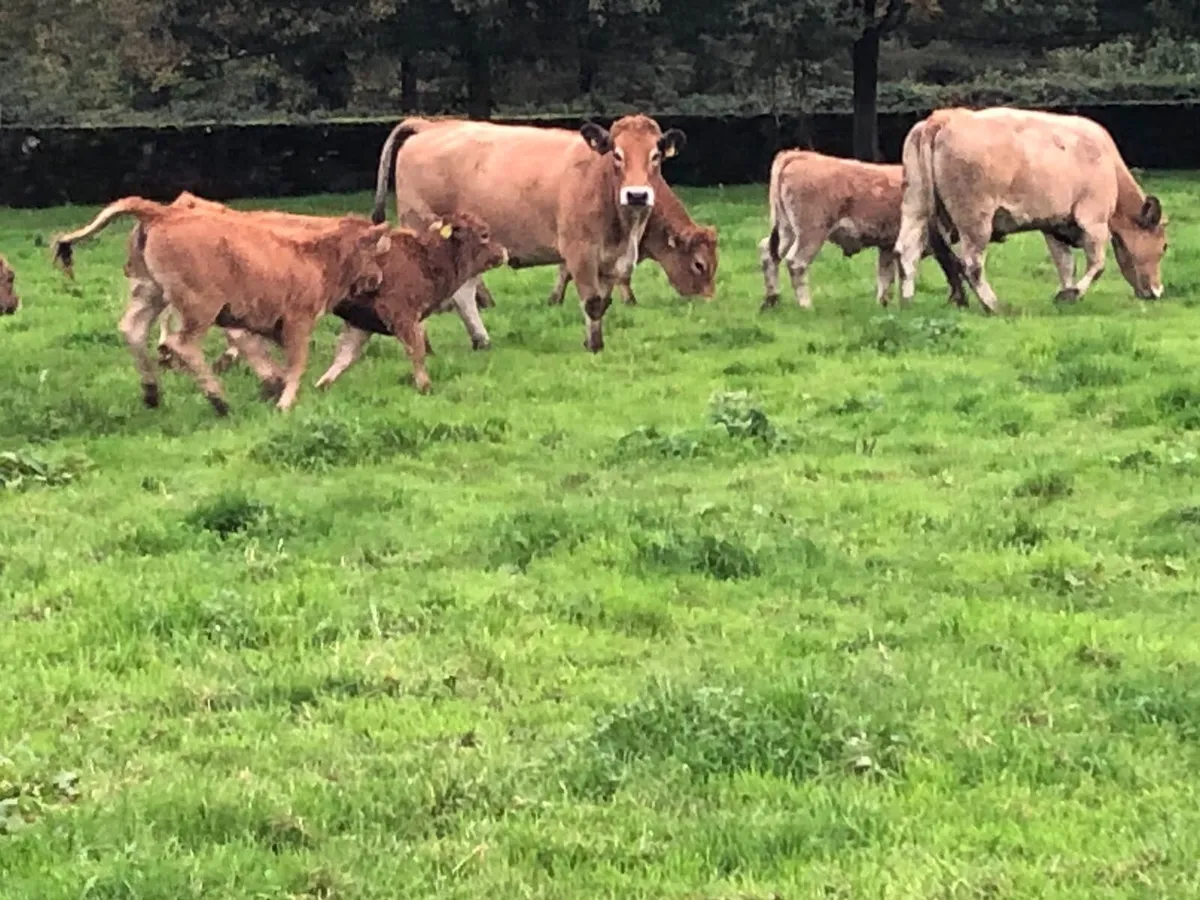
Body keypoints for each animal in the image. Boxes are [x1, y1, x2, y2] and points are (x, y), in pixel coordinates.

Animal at [51, 197, 392, 415]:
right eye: (374, 251)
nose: (377, 277)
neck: (316, 256)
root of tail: (163, 214)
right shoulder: (298, 321)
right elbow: (296, 364)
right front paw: (285, 401)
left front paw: (273, 386)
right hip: (199, 308)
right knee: (181, 344)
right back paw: (219, 400)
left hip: (150, 292)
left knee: (132, 330)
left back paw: (152, 392)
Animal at [315, 211, 508, 393]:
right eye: (484, 234)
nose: (504, 252)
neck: (425, 259)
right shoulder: (402, 315)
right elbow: (417, 350)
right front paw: (425, 387)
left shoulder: (361, 321)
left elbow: (345, 356)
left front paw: (322, 385)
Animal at [369, 114, 690, 353]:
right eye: (617, 155)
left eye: (655, 156)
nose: (637, 195)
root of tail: (429, 126)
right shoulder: (580, 250)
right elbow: (592, 302)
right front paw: (593, 347)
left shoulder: (614, 260)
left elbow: (603, 301)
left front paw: (594, 341)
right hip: (422, 229)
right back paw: (426, 346)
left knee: (463, 292)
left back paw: (481, 340)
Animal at [757, 148, 967, 311]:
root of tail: (797, 155)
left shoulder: (887, 246)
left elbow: (886, 275)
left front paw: (884, 304)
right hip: (811, 233)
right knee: (796, 262)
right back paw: (806, 305)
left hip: (785, 230)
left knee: (769, 253)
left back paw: (771, 300)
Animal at [894, 106, 1168, 313]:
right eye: (1164, 246)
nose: (1157, 292)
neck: (1110, 165)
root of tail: (946, 116)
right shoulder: (1094, 220)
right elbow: (1097, 264)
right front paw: (1072, 294)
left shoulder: (1053, 225)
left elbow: (1065, 263)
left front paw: (1065, 294)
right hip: (975, 217)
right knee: (972, 262)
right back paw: (994, 306)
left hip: (915, 205)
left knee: (906, 250)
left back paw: (907, 302)